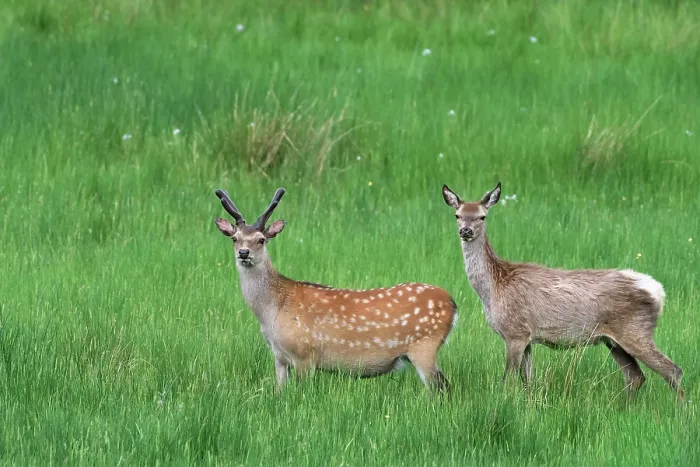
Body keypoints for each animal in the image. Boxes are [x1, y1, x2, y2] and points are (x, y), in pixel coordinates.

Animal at [213, 187, 457, 393]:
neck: (272, 311)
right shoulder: (279, 357)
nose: (243, 253)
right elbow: (279, 392)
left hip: (425, 345)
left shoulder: (305, 353)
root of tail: (453, 305)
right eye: (235, 238)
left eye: (261, 239)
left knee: (442, 388)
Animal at [441, 181, 684, 400]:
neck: (493, 288)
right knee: (635, 376)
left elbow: (508, 380)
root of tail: (658, 291)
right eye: (457, 215)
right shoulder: (527, 337)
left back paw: (682, 411)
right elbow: (528, 380)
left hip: (636, 331)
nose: (465, 231)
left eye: (482, 216)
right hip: (613, 340)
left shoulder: (515, 332)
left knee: (673, 370)